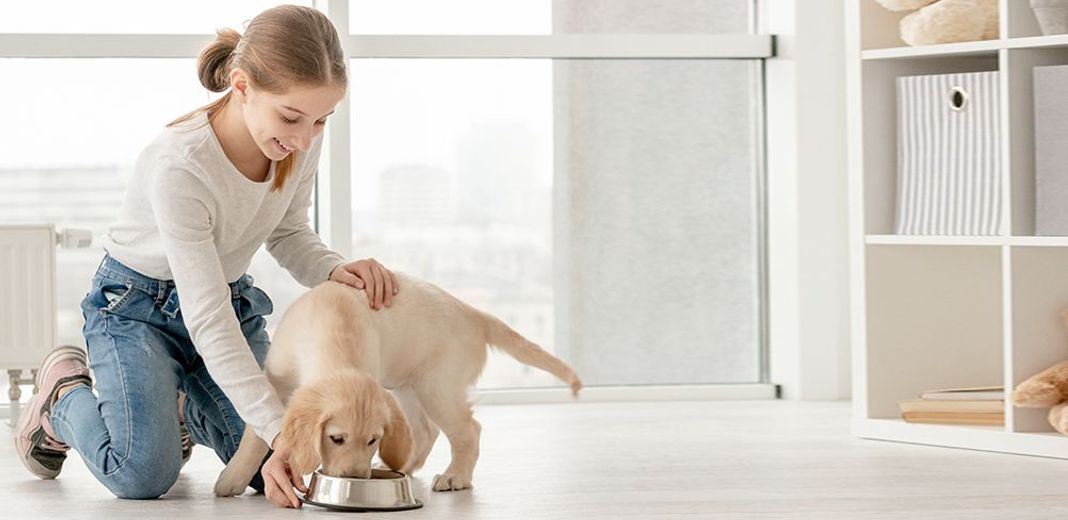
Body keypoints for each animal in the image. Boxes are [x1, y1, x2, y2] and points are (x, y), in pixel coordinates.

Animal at [214, 272, 585, 497]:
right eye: (336, 438)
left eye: (373, 440)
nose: (356, 478)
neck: (332, 331)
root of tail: (474, 314)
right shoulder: (273, 379)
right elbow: (254, 435)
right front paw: (232, 479)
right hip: (408, 386)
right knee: (425, 431)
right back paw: (402, 467)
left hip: (437, 387)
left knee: (468, 430)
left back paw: (455, 476)